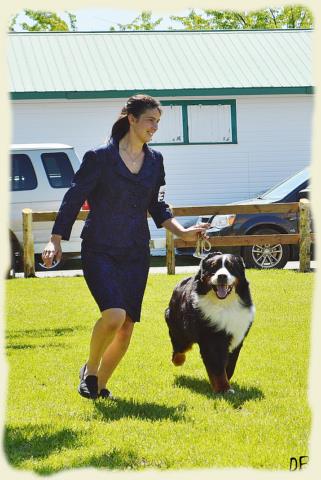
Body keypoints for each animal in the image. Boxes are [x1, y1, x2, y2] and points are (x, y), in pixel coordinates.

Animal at [164, 251, 254, 394]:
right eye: (214, 267)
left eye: (231, 267)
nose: (222, 276)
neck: (224, 305)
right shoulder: (212, 339)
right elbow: (217, 367)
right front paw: (224, 388)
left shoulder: (236, 337)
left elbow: (229, 366)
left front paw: (224, 383)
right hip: (178, 326)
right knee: (179, 347)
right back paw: (178, 360)